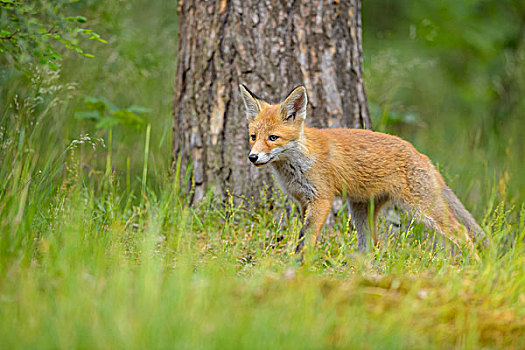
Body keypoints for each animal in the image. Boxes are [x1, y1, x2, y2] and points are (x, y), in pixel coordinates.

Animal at [239, 83, 486, 256]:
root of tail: (421, 154)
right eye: (253, 137)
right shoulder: (303, 201)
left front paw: (299, 264)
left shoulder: (322, 199)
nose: (252, 157)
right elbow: (303, 234)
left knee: (462, 233)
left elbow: (306, 237)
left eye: (273, 138)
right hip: (361, 212)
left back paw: (473, 265)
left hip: (423, 209)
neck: (297, 164)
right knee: (371, 245)